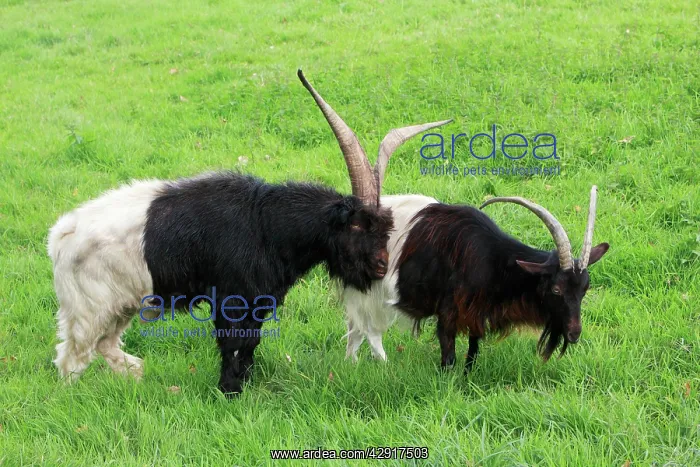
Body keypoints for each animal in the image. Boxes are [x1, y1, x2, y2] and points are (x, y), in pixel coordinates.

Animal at [47, 70, 447, 396]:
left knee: (103, 346)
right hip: (88, 310)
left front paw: (244, 384)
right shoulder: (231, 299)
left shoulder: (259, 300)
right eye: (355, 224)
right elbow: (233, 344)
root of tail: (60, 237)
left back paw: (135, 372)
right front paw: (229, 392)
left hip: (122, 305)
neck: (266, 224)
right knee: (71, 357)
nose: (380, 267)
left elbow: (250, 344)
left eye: (387, 227)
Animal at [394, 187, 609, 371]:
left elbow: (472, 352)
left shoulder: (475, 314)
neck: (492, 261)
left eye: (584, 289)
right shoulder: (447, 315)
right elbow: (449, 358)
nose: (574, 334)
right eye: (556, 289)